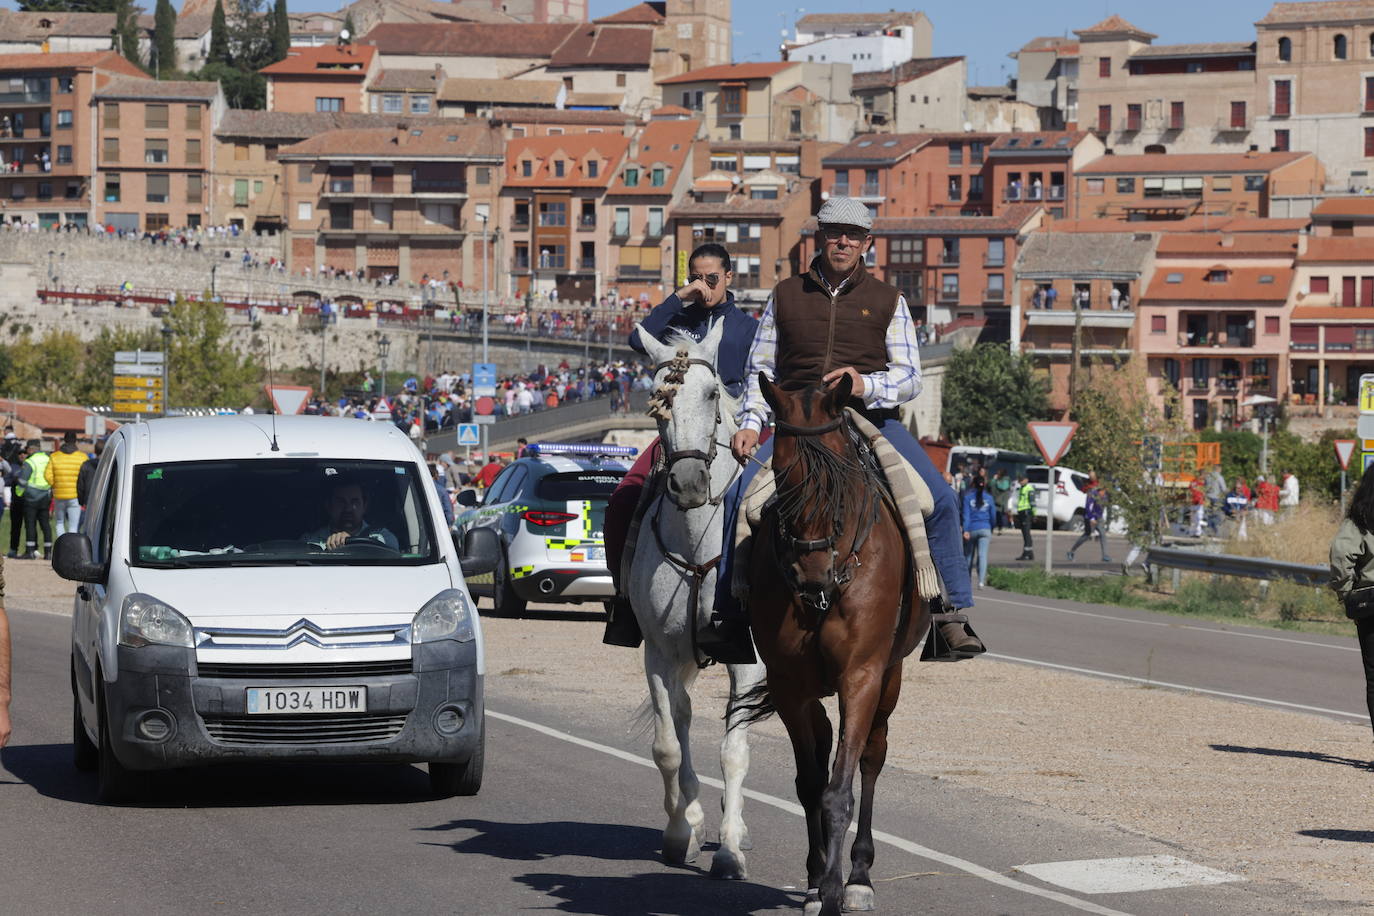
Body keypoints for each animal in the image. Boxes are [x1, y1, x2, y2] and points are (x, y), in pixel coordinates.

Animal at [629, 321, 769, 878]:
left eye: (712, 393)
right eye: (658, 399)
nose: (688, 484)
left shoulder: (749, 661)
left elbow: (734, 752)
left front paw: (729, 850)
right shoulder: (660, 654)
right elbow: (668, 745)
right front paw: (680, 831)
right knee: (685, 718)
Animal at [747, 373, 928, 916]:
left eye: (840, 474)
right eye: (782, 473)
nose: (812, 571)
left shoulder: (862, 676)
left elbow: (840, 790)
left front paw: (834, 888)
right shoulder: (789, 684)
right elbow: (811, 785)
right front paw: (814, 881)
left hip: (890, 679)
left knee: (871, 757)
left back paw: (860, 875)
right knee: (825, 742)